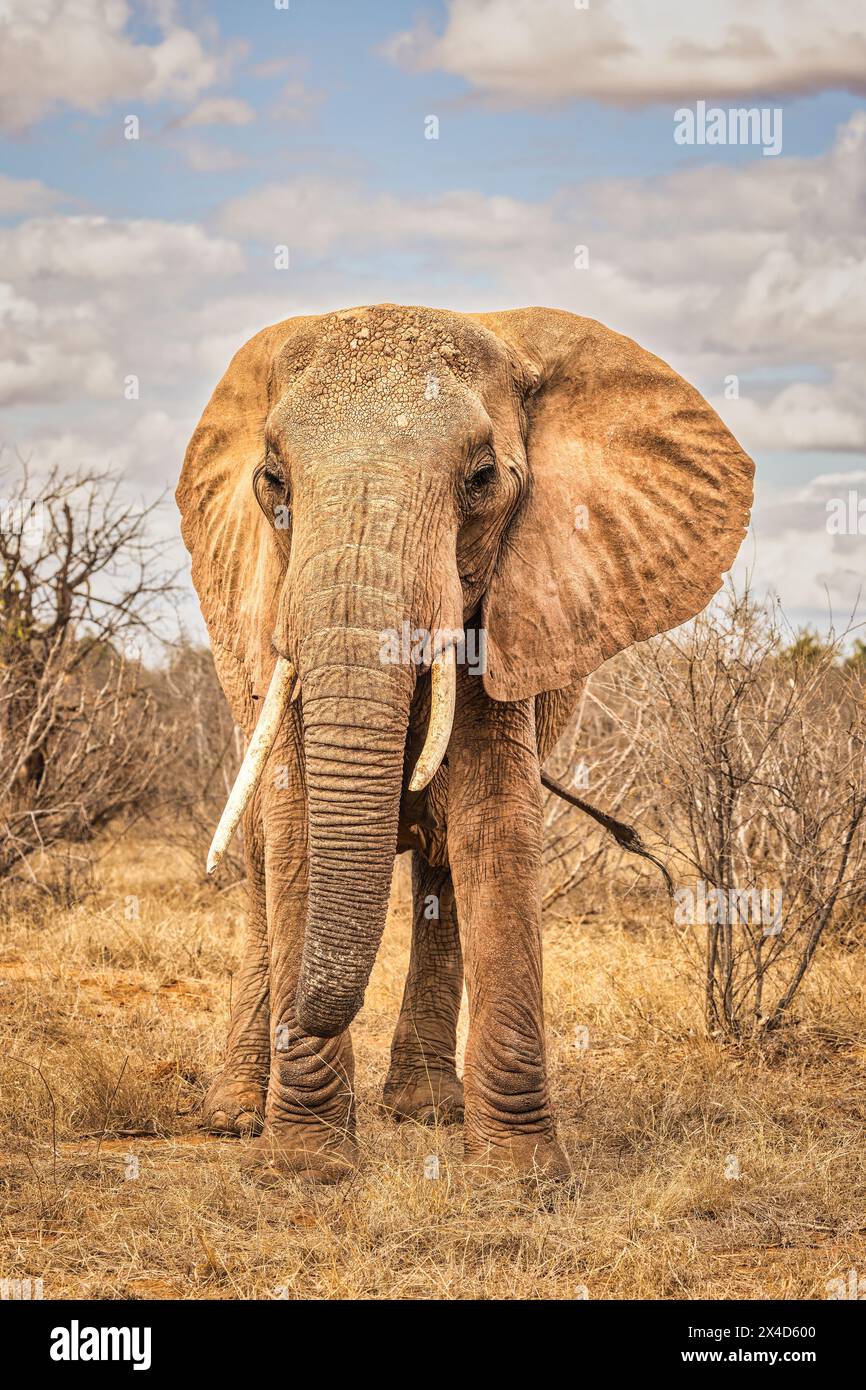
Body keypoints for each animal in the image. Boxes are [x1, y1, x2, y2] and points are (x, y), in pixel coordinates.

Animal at [176, 304, 750, 1184]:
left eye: (482, 481)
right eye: (272, 481)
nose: (307, 1015)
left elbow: (493, 819)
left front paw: (521, 1179)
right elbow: (296, 822)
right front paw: (307, 1165)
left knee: (443, 859)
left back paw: (425, 1110)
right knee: (264, 860)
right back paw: (238, 1116)